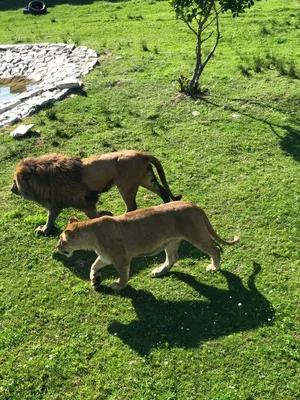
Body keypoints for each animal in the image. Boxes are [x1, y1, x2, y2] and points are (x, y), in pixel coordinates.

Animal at [11, 152, 180, 236]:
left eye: (15, 181)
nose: (11, 189)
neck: (42, 180)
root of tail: (142, 154)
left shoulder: (85, 200)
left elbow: (93, 216)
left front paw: (104, 217)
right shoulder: (55, 204)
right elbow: (50, 219)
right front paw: (44, 230)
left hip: (125, 185)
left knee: (131, 206)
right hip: (144, 178)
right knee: (161, 190)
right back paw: (166, 204)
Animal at [56, 203, 239, 290]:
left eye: (61, 240)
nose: (57, 247)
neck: (91, 235)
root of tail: (194, 205)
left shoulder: (121, 258)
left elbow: (123, 274)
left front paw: (119, 286)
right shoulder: (106, 256)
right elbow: (93, 266)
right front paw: (95, 279)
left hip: (196, 236)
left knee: (215, 249)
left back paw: (214, 267)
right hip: (171, 241)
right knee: (172, 258)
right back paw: (159, 271)